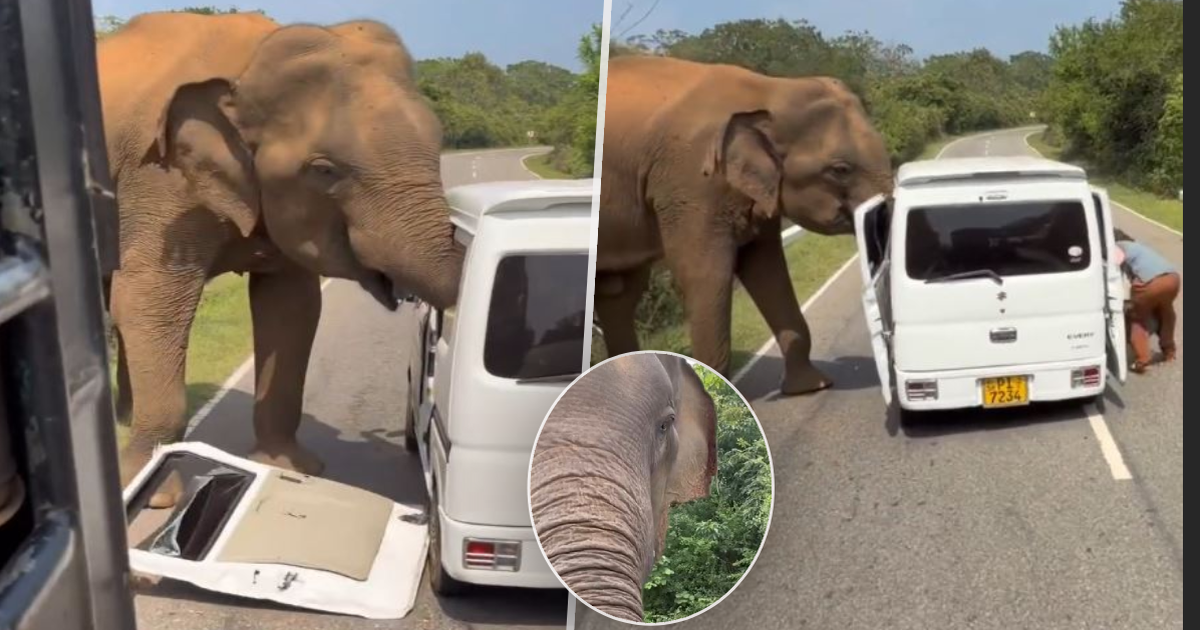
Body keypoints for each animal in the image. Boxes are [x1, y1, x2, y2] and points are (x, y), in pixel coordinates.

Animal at [97, 12, 463, 506]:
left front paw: (288, 468)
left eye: (440, 143)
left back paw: (123, 418)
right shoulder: (159, 179)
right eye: (324, 170)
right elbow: (149, 301)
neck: (249, 64)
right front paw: (151, 492)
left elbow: (292, 308)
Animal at [595, 55, 894, 395]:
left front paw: (811, 387)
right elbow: (707, 274)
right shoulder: (692, 183)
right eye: (840, 169)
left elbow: (766, 268)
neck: (770, 90)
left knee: (618, 295)